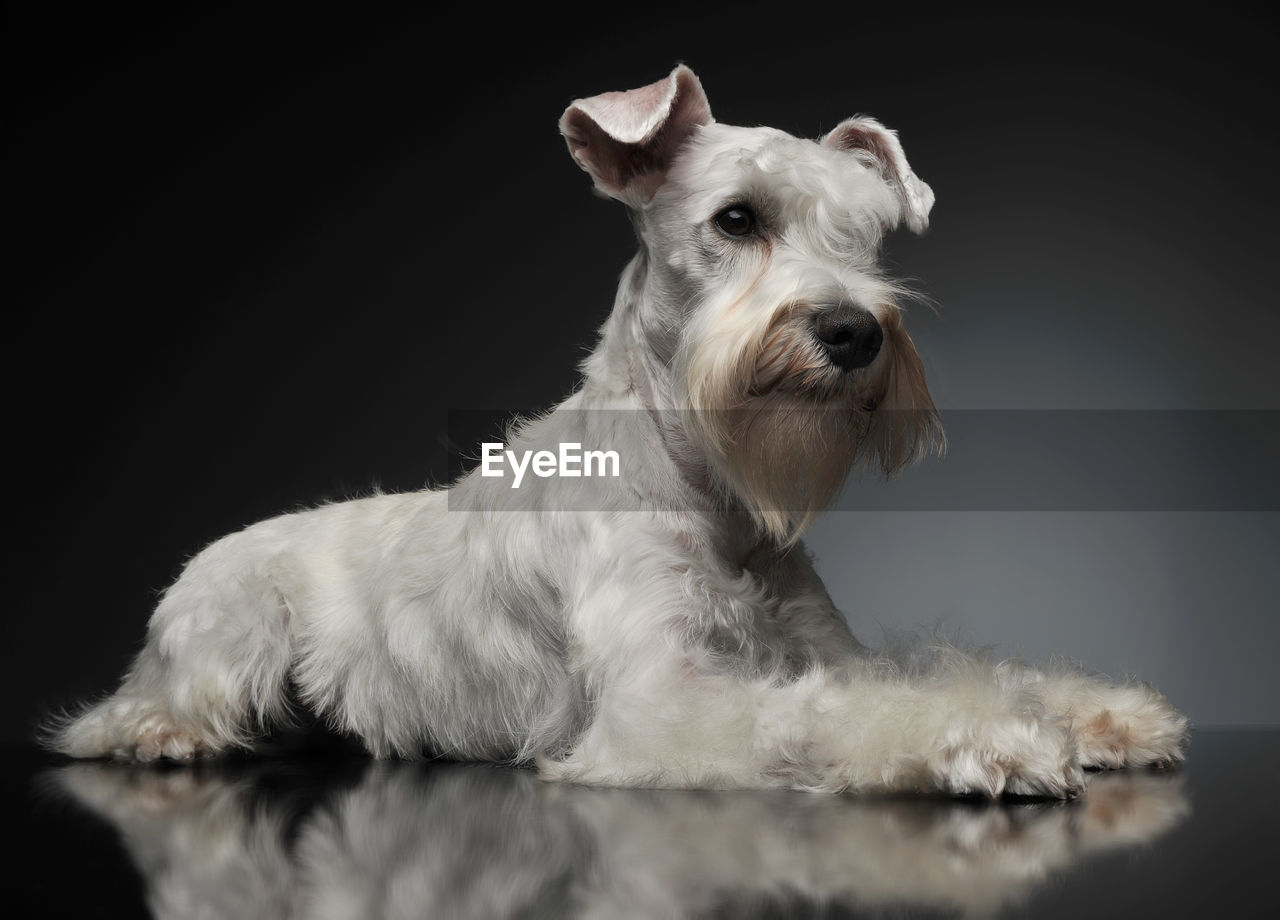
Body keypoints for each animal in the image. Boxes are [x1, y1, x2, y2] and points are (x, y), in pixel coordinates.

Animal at [49, 66, 1187, 798]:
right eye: (736, 219)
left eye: (866, 237)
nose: (853, 332)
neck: (705, 490)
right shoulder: (666, 698)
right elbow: (817, 713)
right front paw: (987, 736)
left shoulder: (823, 648)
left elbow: (911, 671)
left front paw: (1096, 713)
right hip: (227, 635)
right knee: (125, 715)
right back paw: (160, 733)